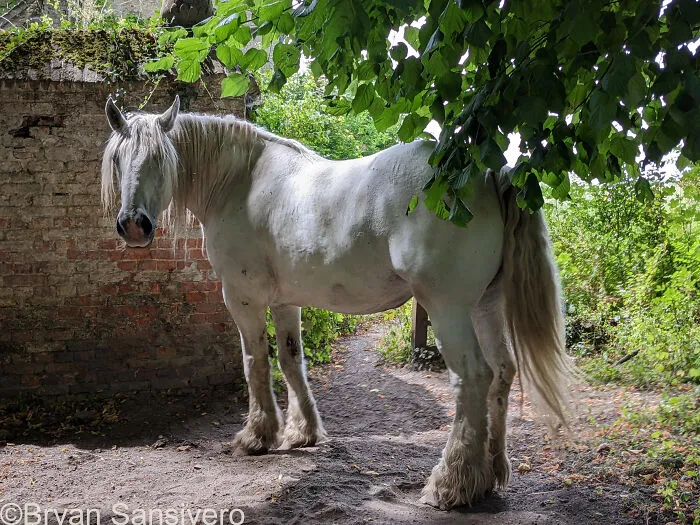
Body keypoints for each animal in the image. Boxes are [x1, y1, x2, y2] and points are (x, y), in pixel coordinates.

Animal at [101, 96, 572, 510]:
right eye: (120, 160)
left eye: (160, 159)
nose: (134, 226)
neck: (239, 182)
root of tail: (489, 172)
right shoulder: (285, 302)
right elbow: (291, 360)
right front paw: (302, 433)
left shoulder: (243, 297)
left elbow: (255, 362)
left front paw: (256, 436)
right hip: (485, 305)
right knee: (502, 373)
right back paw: (489, 475)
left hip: (447, 307)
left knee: (473, 377)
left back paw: (450, 485)